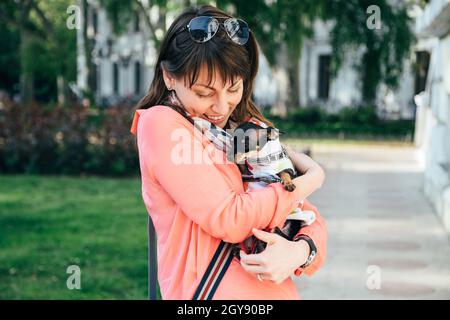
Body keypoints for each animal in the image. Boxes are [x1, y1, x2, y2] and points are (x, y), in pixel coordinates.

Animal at [232, 119, 316, 254]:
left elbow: (284, 173)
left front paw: (288, 184)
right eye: (232, 141)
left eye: (246, 144)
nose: (231, 155)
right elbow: (244, 167)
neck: (263, 159)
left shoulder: (290, 171)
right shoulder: (247, 174)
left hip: (280, 227)